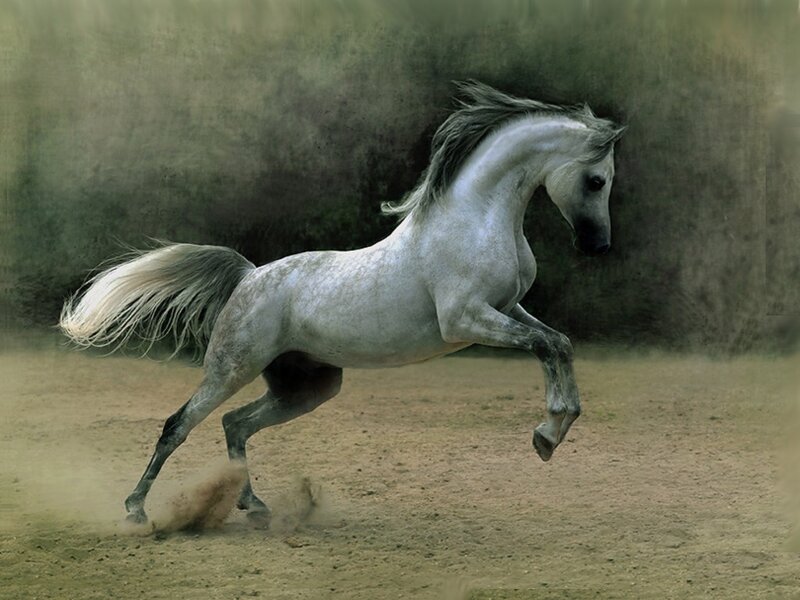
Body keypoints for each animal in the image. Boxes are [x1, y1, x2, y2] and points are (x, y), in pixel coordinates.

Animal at [59, 81, 625, 525]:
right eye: (596, 179)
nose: (597, 245)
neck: (475, 217)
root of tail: (248, 276)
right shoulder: (466, 319)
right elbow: (546, 346)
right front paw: (548, 433)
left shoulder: (507, 309)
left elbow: (557, 343)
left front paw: (551, 434)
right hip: (232, 367)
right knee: (179, 424)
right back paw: (136, 510)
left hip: (308, 386)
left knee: (234, 423)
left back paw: (255, 506)